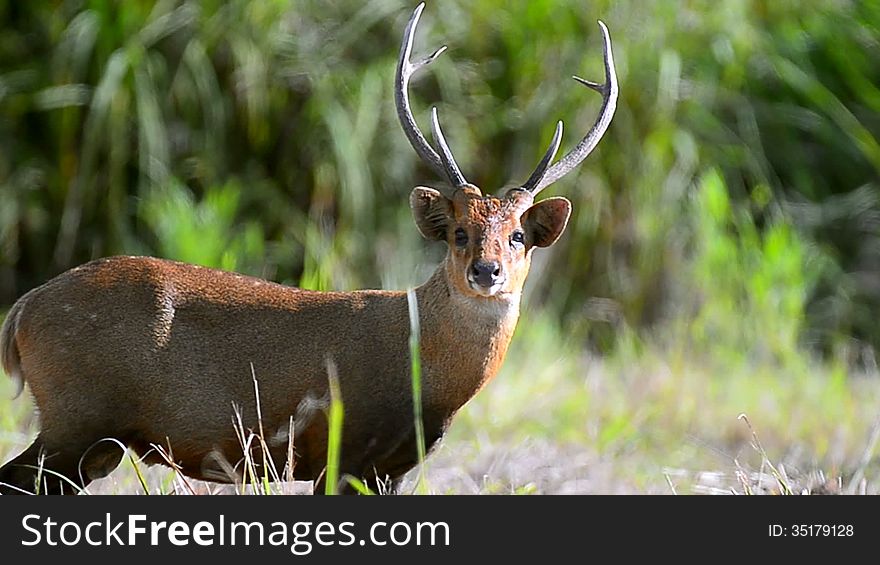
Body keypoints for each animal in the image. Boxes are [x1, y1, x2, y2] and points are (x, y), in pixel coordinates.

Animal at [0, 3, 616, 494]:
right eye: (459, 232)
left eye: (518, 235)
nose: (487, 271)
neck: (425, 374)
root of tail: (22, 310)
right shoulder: (343, 449)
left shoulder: (391, 467)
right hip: (77, 415)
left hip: (91, 440)